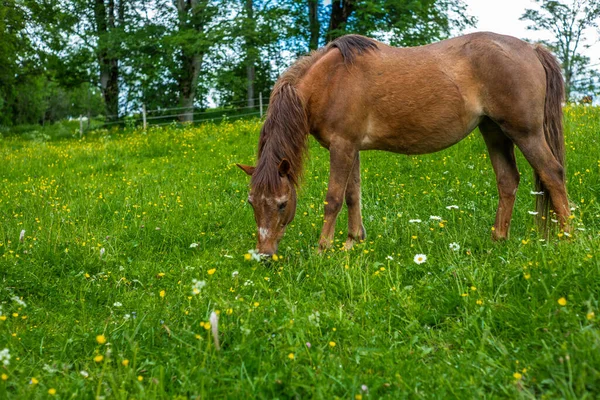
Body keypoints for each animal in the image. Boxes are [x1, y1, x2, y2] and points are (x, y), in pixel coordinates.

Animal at [237, 32, 568, 255]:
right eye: (252, 202)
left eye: (282, 204)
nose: (264, 255)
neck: (328, 80)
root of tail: (532, 49)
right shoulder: (351, 147)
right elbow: (352, 195)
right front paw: (352, 243)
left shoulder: (342, 147)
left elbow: (333, 199)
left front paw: (323, 249)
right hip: (494, 132)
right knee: (508, 180)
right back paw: (498, 240)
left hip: (525, 132)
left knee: (552, 174)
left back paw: (568, 238)